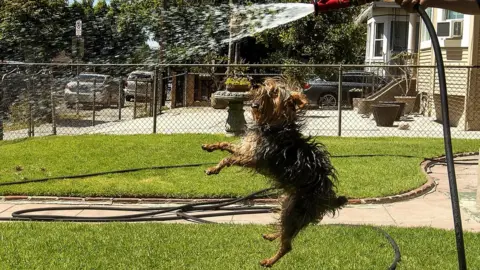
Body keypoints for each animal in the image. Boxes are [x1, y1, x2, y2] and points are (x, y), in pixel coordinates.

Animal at [201, 77, 346, 266]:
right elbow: (226, 145)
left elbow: (229, 159)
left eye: (274, 92)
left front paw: (214, 168)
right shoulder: (247, 148)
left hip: (296, 210)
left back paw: (269, 261)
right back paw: (272, 235)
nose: (256, 85)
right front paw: (209, 147)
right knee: (285, 230)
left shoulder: (253, 159)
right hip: (288, 204)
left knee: (287, 244)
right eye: (266, 86)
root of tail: (327, 199)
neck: (275, 124)